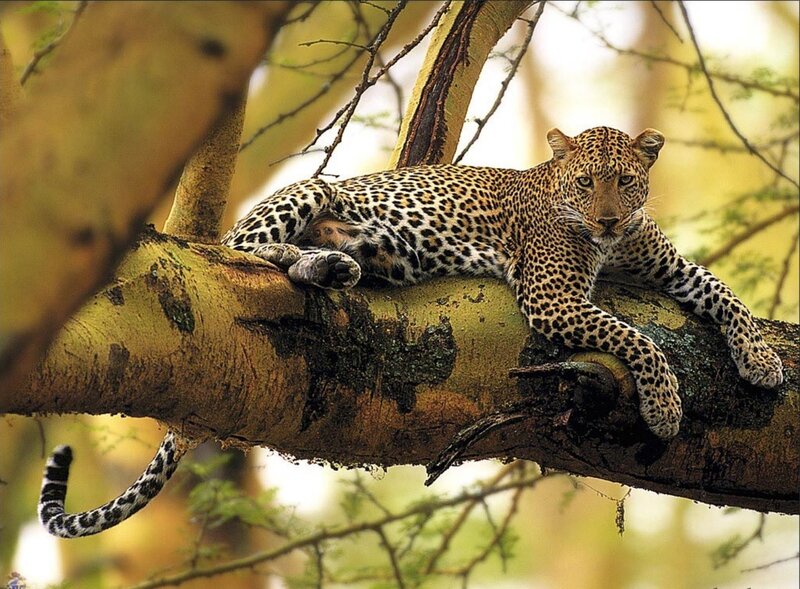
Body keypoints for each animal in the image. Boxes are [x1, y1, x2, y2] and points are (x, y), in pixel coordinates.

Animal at [39, 126, 783, 538]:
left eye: (625, 181)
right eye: (583, 182)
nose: (604, 219)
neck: (613, 244)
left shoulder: (666, 265)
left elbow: (722, 292)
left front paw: (763, 359)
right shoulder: (554, 297)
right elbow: (640, 338)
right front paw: (664, 404)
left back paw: (344, 258)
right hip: (307, 192)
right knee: (246, 255)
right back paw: (325, 260)